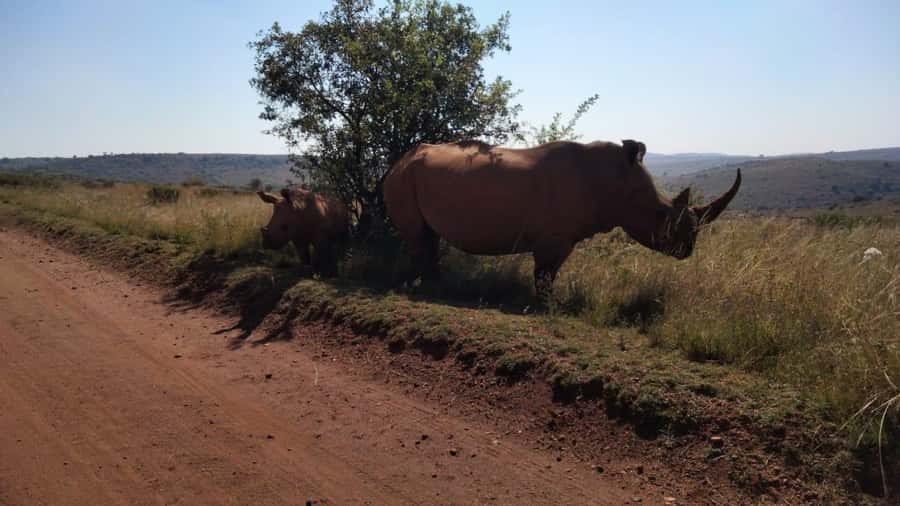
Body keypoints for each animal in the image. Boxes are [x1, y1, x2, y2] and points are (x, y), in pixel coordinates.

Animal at [383, 139, 740, 298]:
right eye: (662, 215)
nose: (687, 250)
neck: (619, 183)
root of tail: (397, 161)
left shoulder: (559, 238)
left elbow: (548, 274)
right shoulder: (554, 239)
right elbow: (545, 275)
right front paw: (546, 305)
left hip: (412, 175)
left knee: (428, 236)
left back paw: (433, 287)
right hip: (403, 178)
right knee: (418, 237)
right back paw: (421, 288)